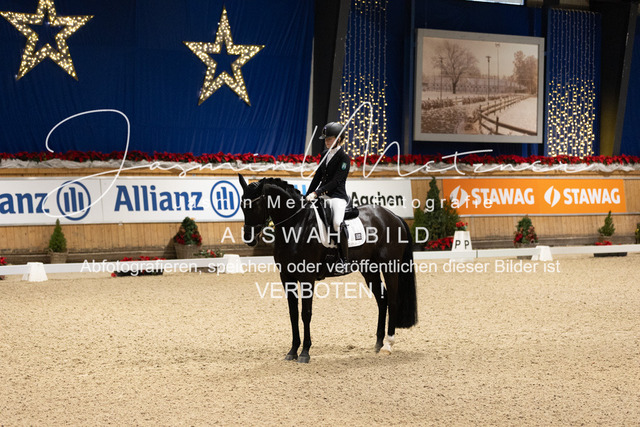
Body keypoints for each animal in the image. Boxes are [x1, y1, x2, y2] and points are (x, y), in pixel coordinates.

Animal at [238, 174, 418, 363]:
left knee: (392, 300)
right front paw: (292, 351)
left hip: (390, 266)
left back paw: (388, 346)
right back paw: (378, 344)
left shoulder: (307, 277)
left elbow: (305, 313)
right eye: (242, 205)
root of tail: (394, 216)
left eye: (255, 205)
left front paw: (305, 353)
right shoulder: (286, 277)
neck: (296, 224)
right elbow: (293, 313)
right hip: (369, 269)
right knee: (382, 300)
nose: (249, 238)